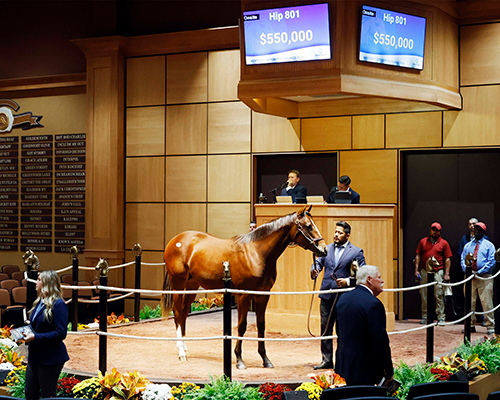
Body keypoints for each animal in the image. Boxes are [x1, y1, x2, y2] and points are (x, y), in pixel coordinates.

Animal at [160, 205, 330, 370]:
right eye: (308, 226)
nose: (324, 249)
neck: (256, 253)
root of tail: (176, 239)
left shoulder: (263, 295)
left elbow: (261, 325)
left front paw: (265, 359)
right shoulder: (244, 295)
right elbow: (242, 326)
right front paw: (239, 360)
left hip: (192, 285)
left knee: (183, 313)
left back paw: (185, 348)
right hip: (178, 284)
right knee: (177, 313)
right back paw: (181, 352)